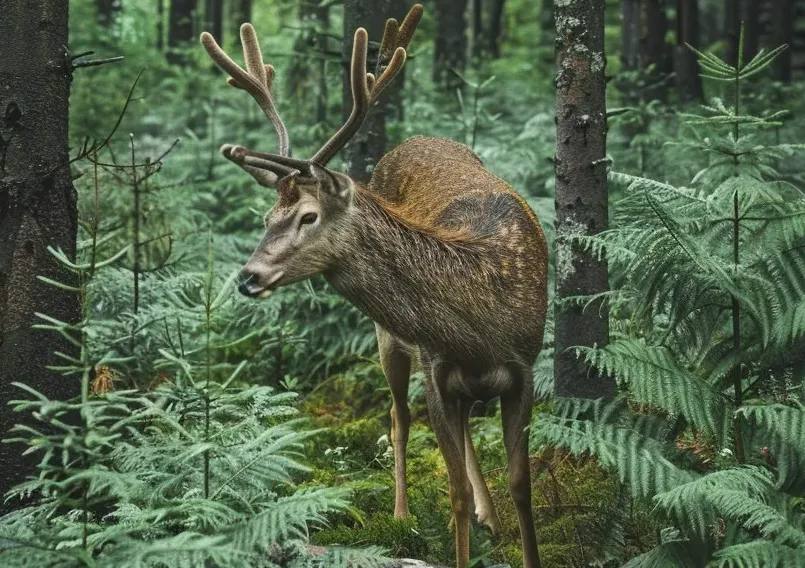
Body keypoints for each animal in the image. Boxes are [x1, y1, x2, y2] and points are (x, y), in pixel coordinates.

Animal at [200, 5, 547, 568]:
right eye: (268, 217)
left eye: (308, 216)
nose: (248, 277)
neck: (478, 324)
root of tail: (413, 140)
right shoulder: (435, 364)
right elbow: (451, 486)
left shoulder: (526, 367)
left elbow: (521, 482)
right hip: (388, 339)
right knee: (398, 416)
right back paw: (405, 515)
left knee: (460, 419)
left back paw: (489, 516)